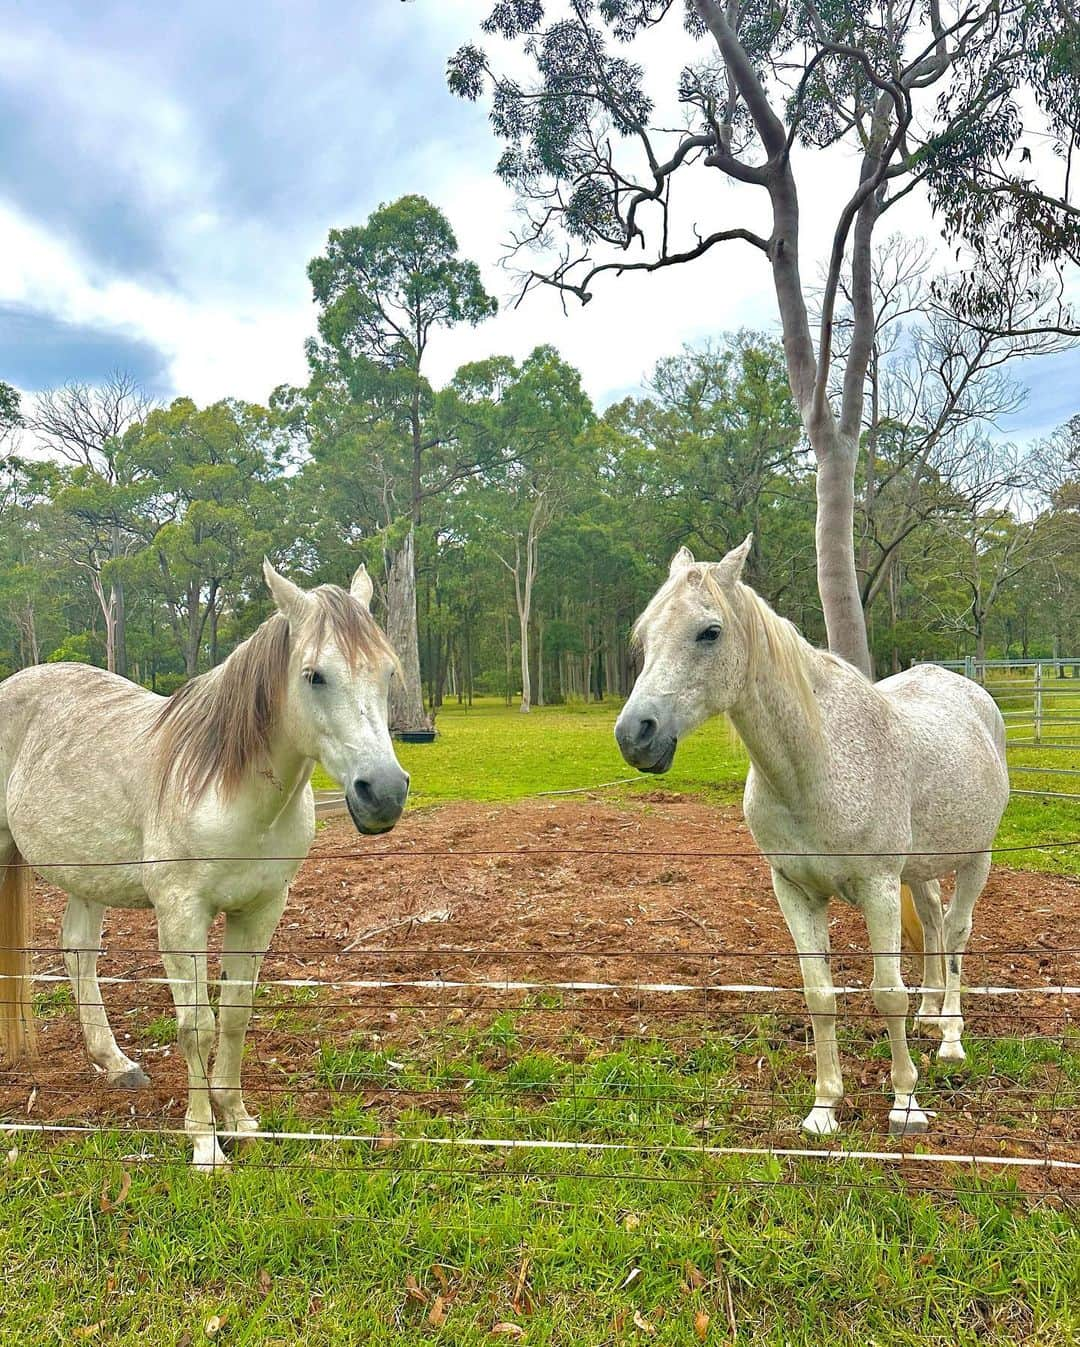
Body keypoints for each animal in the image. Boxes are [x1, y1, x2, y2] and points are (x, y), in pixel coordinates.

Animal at [0, 557, 409, 1169]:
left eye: (386, 673)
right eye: (314, 675)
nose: (382, 793)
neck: (227, 790)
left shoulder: (260, 911)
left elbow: (235, 1013)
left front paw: (238, 1120)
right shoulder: (182, 916)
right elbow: (196, 1024)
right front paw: (204, 1143)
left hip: (86, 877)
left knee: (78, 953)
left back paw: (116, 1064)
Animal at [619, 536, 1007, 1136]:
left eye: (709, 632)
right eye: (644, 635)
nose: (635, 735)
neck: (816, 763)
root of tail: (972, 693)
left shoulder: (878, 886)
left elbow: (886, 993)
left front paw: (905, 1103)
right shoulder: (795, 890)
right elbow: (820, 994)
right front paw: (824, 1109)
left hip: (974, 860)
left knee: (959, 932)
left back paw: (949, 1038)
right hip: (919, 871)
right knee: (935, 923)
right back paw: (929, 1013)